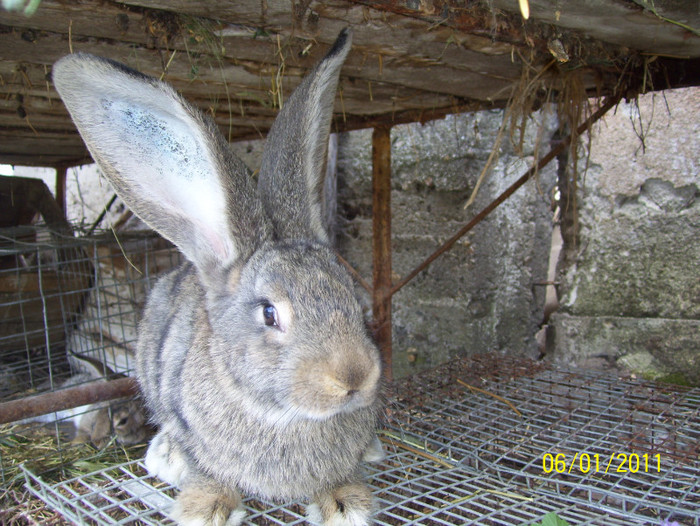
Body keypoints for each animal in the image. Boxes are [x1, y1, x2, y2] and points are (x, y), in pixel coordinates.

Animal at [52, 29, 386, 526]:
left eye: (352, 299)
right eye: (269, 314)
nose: (354, 377)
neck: (282, 414)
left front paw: (345, 501)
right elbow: (206, 471)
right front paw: (205, 506)